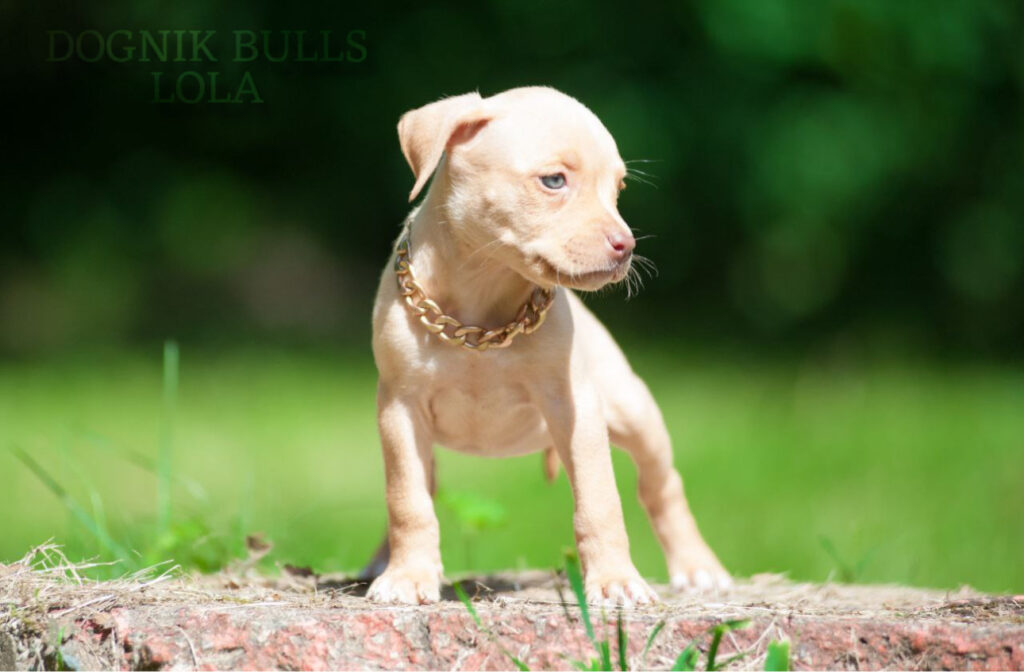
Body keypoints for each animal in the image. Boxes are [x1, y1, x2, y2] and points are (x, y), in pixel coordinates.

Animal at [368, 86, 729, 606]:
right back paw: (382, 560)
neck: (480, 309)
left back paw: (699, 568)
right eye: (554, 181)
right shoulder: (400, 408)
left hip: (635, 411)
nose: (626, 246)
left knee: (662, 486)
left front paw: (615, 580)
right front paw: (406, 576)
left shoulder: (574, 408)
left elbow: (600, 502)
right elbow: (406, 498)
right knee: (426, 485)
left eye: (618, 189)